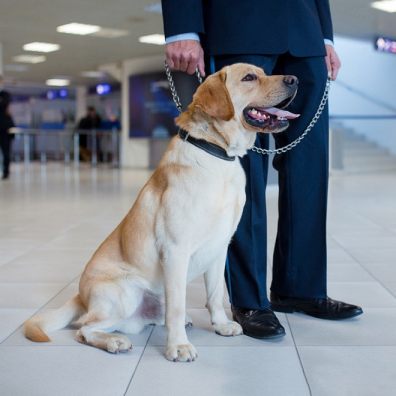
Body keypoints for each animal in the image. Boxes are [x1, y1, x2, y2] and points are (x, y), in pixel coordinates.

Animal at [24, 64, 296, 362]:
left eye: (263, 72)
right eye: (249, 77)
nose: (294, 79)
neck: (217, 154)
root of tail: (80, 295)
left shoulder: (219, 246)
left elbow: (215, 294)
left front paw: (221, 324)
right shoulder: (176, 249)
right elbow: (177, 306)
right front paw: (178, 346)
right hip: (125, 294)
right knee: (85, 328)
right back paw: (114, 341)